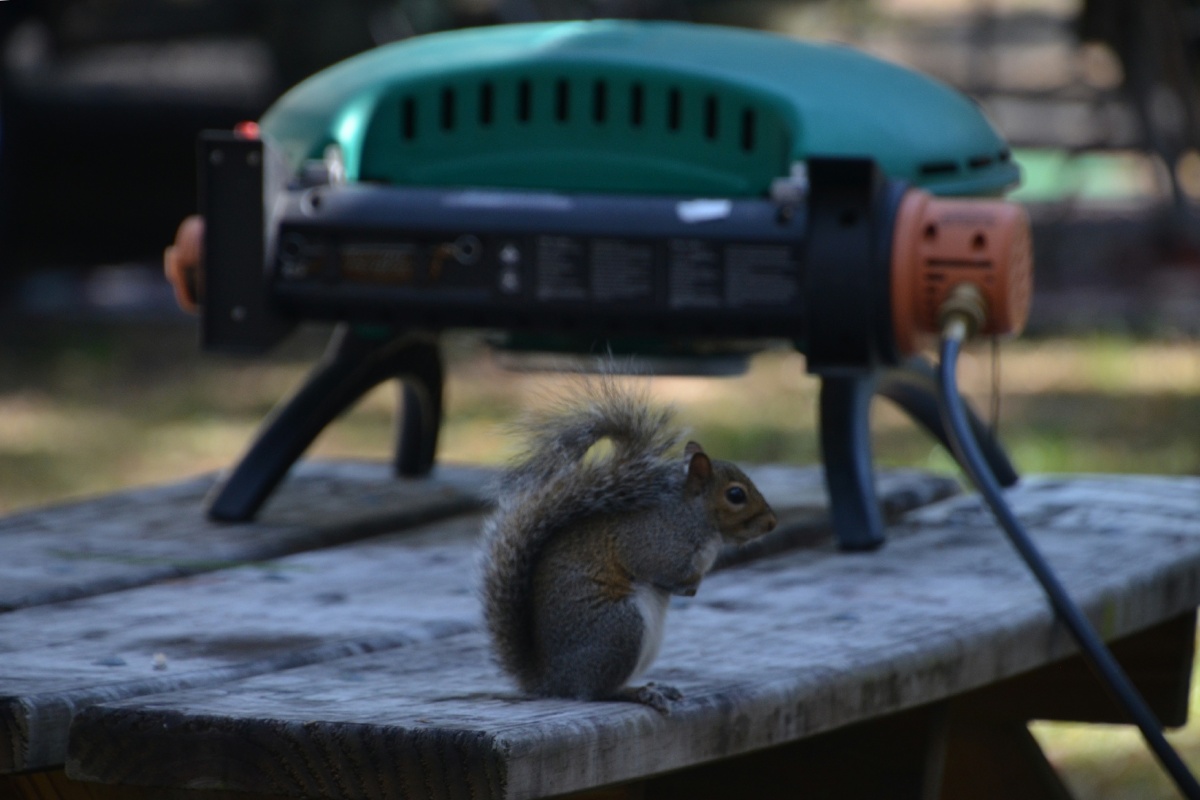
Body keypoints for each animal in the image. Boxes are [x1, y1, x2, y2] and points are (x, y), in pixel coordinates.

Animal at [477, 376, 777, 714]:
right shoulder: (653, 543)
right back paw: (639, 692)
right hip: (621, 627)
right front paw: (687, 585)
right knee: (597, 691)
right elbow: (661, 570)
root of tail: (554, 680)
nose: (772, 522)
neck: (696, 520)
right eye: (736, 495)